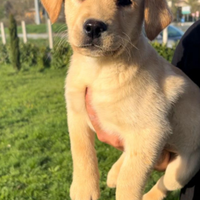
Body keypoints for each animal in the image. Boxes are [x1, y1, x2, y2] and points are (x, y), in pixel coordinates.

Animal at [41, 0, 200, 200]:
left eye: (125, 2)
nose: (94, 27)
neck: (100, 69)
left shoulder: (151, 131)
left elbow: (130, 180)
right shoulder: (76, 112)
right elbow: (81, 150)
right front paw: (84, 189)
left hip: (183, 167)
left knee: (165, 182)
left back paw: (148, 195)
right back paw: (115, 172)